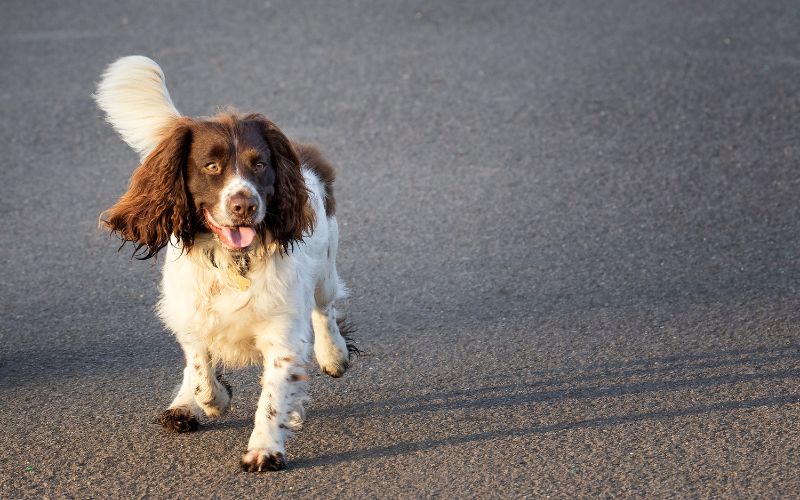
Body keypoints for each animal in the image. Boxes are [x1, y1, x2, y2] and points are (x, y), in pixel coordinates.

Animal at [94, 56, 354, 470]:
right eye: (211, 166)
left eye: (260, 164)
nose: (244, 205)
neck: (234, 261)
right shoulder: (191, 314)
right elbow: (201, 369)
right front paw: (211, 401)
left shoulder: (282, 331)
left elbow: (274, 393)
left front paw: (264, 449)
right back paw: (183, 406)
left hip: (326, 267)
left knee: (324, 309)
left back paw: (333, 357)